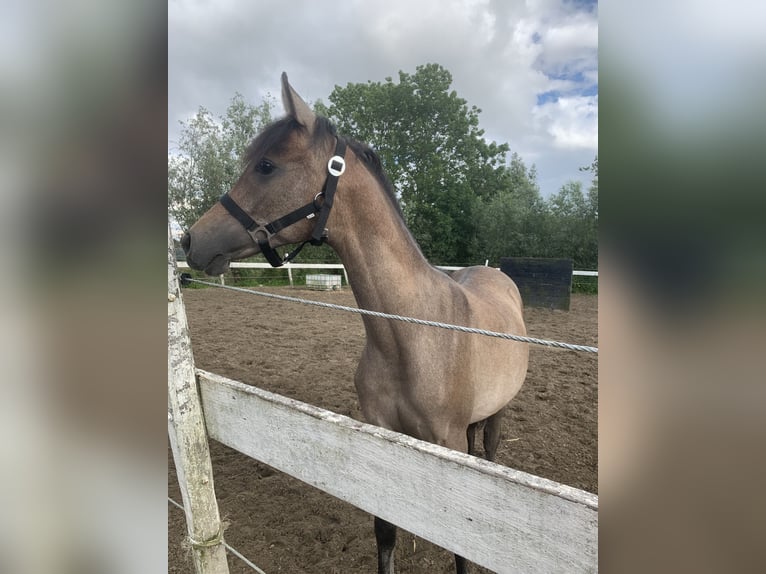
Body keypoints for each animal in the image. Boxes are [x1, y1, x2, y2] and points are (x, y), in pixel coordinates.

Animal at [182, 74, 528, 572]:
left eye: (266, 166)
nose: (190, 240)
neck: (412, 336)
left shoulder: (447, 443)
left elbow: (461, 550)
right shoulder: (382, 436)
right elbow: (385, 532)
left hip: (496, 417)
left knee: (491, 449)